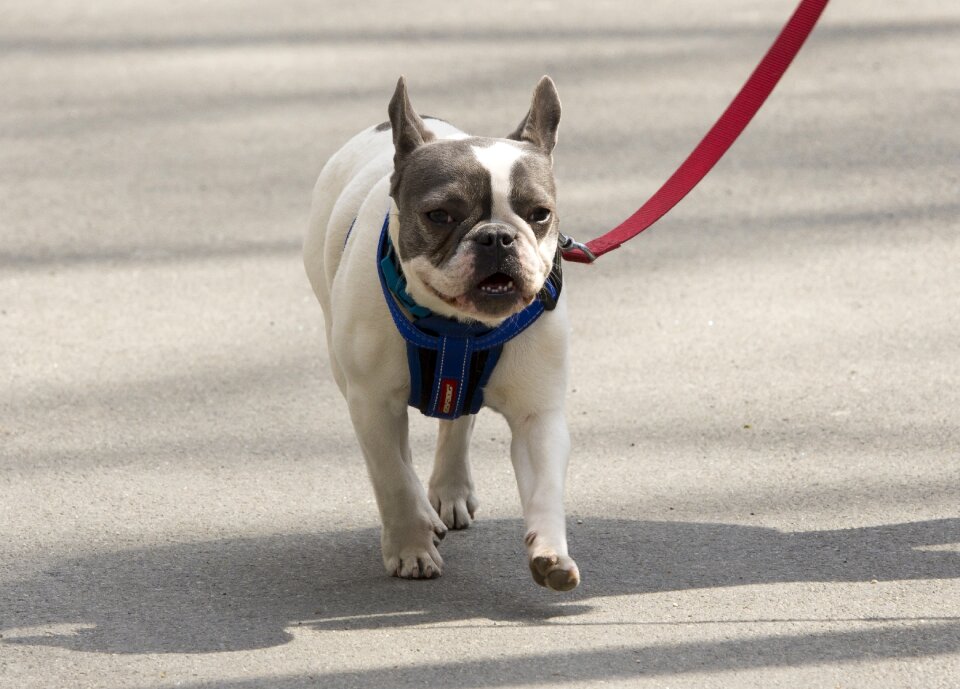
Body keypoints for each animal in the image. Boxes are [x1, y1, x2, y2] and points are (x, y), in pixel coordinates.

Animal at [306, 76, 576, 592]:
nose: (497, 236)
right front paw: (411, 546)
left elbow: (546, 485)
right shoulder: (371, 403)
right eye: (440, 215)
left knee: (458, 421)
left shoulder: (538, 413)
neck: (458, 329)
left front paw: (551, 552)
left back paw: (450, 490)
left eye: (540, 214)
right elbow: (392, 476)